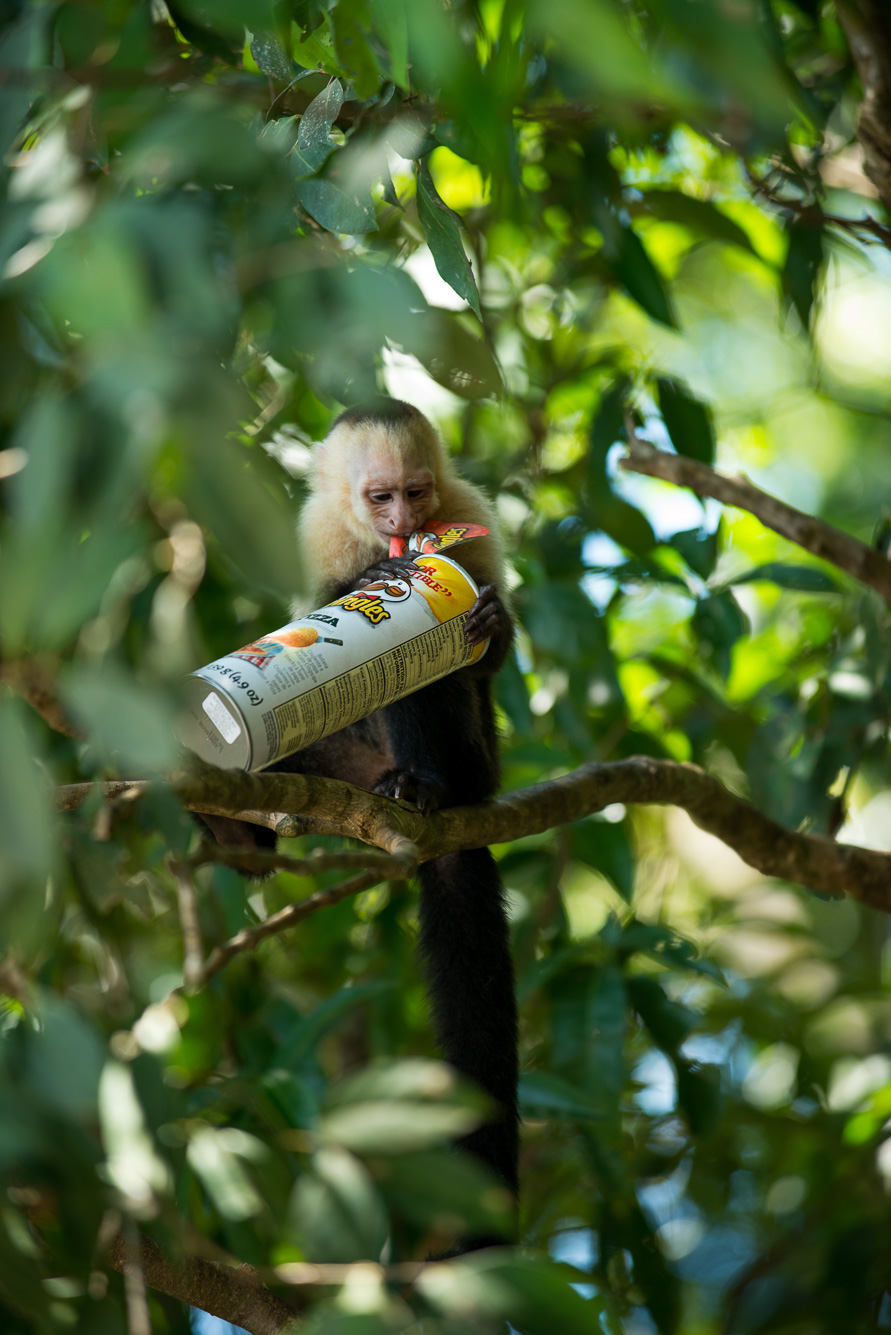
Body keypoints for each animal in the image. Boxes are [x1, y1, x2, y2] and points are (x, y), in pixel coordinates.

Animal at [201, 397, 518, 1249]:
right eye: (381, 498)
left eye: (417, 492)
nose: (405, 528)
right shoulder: (317, 527)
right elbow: (312, 600)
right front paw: (366, 585)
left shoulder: (469, 513)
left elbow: (477, 651)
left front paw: (486, 620)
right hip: (336, 760)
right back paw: (241, 832)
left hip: (479, 766)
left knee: (425, 689)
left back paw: (422, 787)